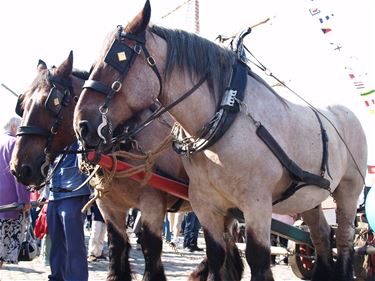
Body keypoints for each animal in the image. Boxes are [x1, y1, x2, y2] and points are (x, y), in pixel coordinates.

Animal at [9, 53, 192, 280]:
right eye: (22, 104)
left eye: (51, 102)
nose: (19, 168)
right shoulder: (108, 205)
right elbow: (117, 248)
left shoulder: (153, 204)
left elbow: (151, 252)